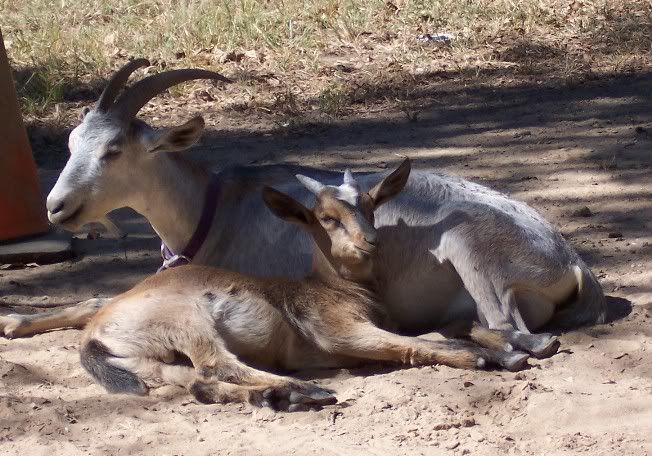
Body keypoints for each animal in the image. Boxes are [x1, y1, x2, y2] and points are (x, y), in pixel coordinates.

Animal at [1, 60, 606, 359]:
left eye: (113, 149)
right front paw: (16, 320)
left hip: (475, 257)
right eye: (73, 141)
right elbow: (98, 300)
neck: (215, 210)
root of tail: (571, 262)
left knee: (515, 329)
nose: (56, 207)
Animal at [79, 162, 529, 410]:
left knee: (199, 384)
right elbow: (414, 344)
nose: (370, 240)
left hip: (150, 363)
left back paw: (277, 399)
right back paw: (305, 390)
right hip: (188, 323)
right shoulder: (342, 333)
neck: (336, 289)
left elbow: (430, 335)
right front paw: (496, 357)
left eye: (371, 206)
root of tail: (93, 332)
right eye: (326, 218)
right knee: (217, 365)